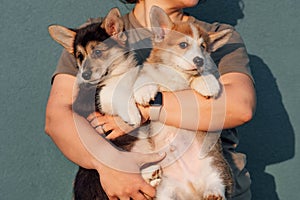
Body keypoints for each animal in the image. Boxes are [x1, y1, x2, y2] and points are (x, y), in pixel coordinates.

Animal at [133, 6, 234, 200]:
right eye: (183, 45)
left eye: (203, 47)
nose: (199, 60)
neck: (177, 73)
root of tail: (192, 189)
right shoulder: (150, 70)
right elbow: (145, 77)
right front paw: (143, 91)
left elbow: (201, 75)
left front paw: (208, 82)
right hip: (165, 190)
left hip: (214, 163)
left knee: (217, 181)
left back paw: (213, 193)